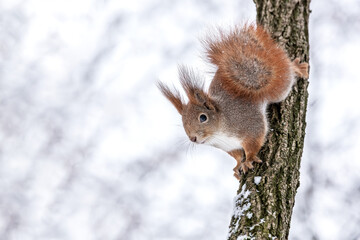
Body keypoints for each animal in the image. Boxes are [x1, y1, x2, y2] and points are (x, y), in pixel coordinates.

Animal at [158, 23, 310, 180]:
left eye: (203, 117)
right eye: (183, 122)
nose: (193, 138)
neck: (219, 132)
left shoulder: (249, 126)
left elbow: (254, 143)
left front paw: (248, 160)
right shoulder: (230, 146)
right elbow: (237, 155)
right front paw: (238, 166)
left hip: (279, 87)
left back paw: (298, 68)